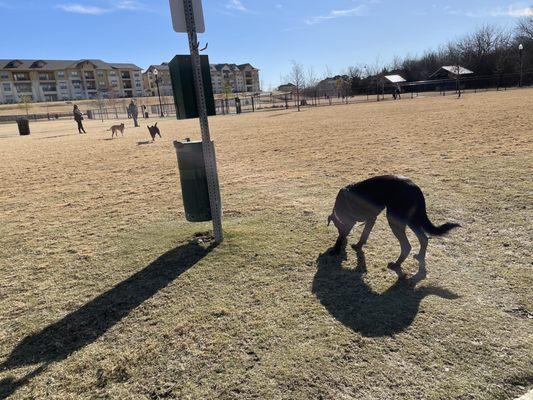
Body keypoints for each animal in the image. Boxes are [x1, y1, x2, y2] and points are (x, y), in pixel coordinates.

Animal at [326, 175, 460, 272]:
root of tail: (416, 189)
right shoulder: (371, 218)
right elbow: (364, 234)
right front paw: (357, 246)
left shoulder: (357, 221)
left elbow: (351, 235)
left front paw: (335, 249)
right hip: (411, 220)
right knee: (424, 238)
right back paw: (420, 257)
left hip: (394, 219)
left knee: (407, 246)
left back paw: (396, 265)